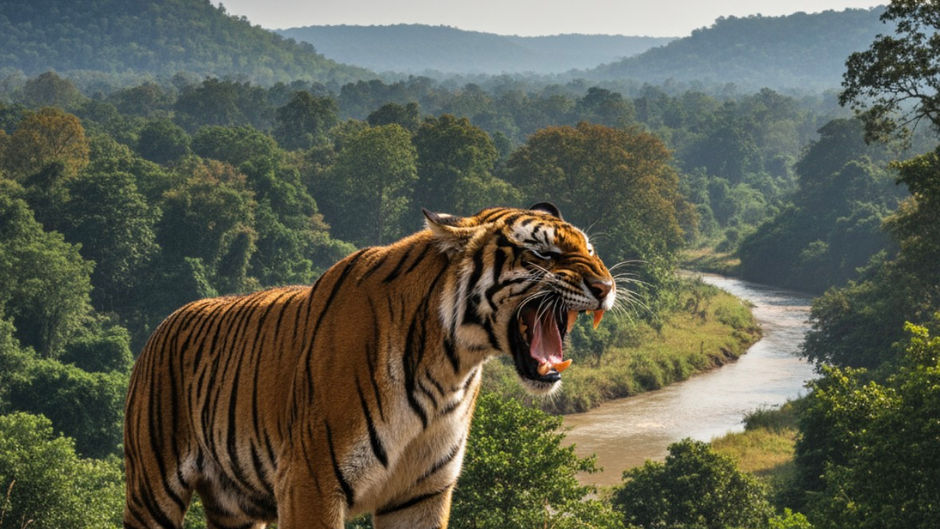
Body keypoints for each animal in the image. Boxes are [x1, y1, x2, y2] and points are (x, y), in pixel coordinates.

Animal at [123, 202, 616, 529]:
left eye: (591, 250)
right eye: (543, 254)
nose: (606, 286)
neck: (450, 366)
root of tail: (165, 322)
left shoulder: (422, 492)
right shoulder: (310, 482)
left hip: (236, 507)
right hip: (151, 489)